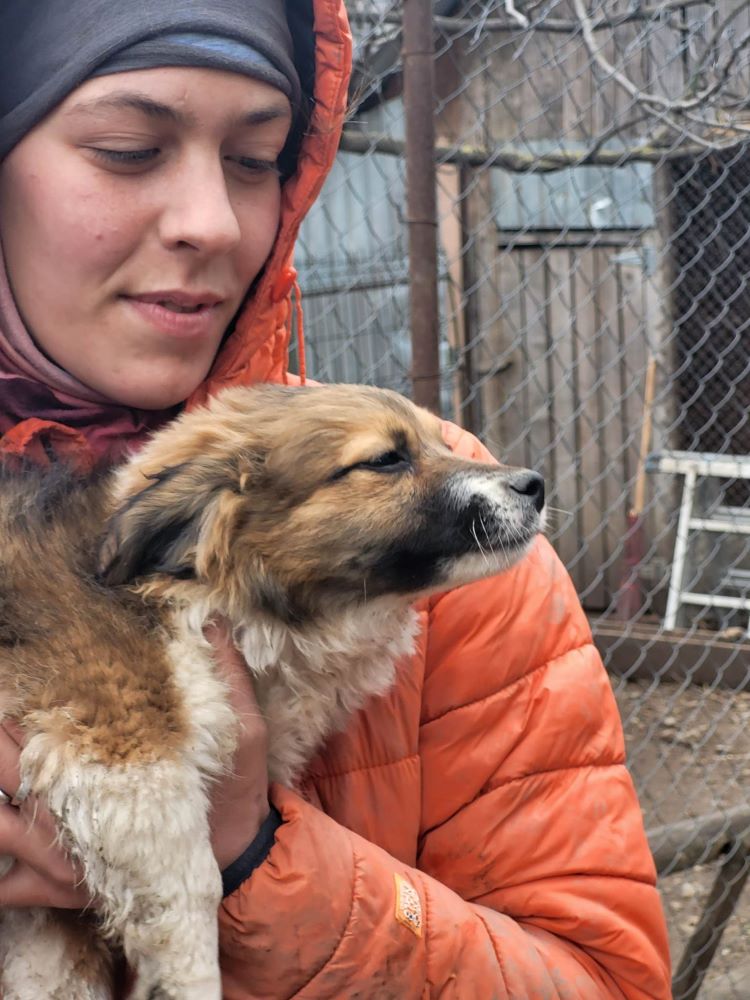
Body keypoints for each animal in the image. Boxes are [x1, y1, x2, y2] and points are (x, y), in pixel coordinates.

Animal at [0, 384, 544, 1000]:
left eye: (443, 443)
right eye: (387, 459)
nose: (535, 485)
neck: (205, 595)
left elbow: (50, 970)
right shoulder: (123, 749)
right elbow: (192, 889)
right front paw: (190, 983)